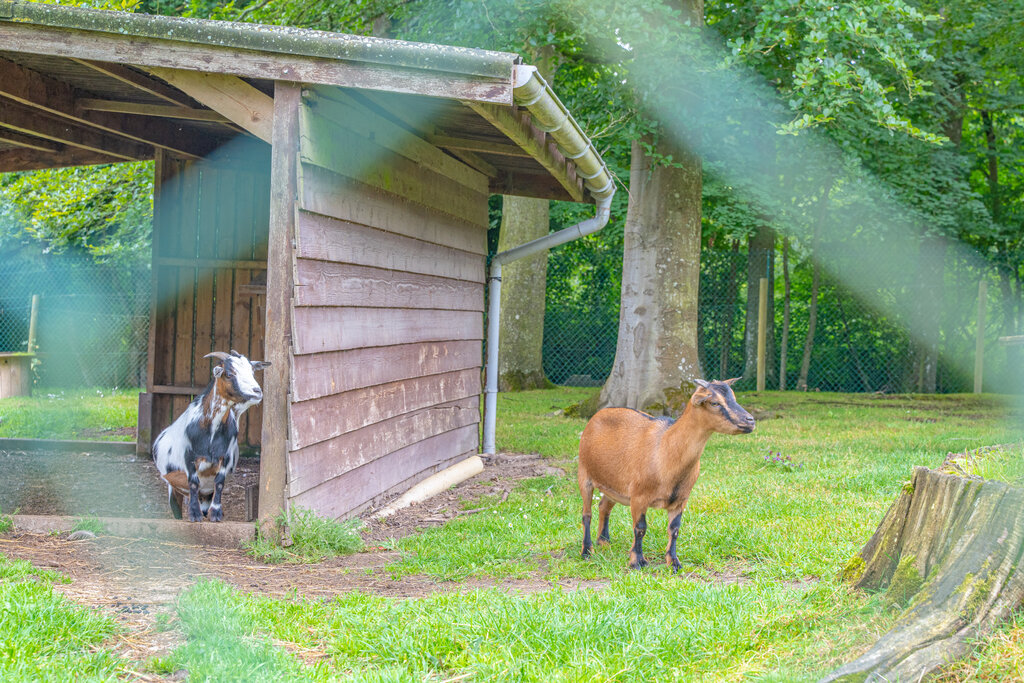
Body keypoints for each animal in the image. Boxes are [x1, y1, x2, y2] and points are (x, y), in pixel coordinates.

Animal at [151, 352, 270, 524]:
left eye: (252, 371)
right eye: (229, 374)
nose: (257, 391)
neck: (211, 432)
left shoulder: (225, 458)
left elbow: (219, 483)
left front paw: (216, 514)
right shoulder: (189, 458)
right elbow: (193, 483)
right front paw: (194, 515)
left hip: (205, 495)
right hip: (172, 488)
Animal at [581, 378, 757, 573]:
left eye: (733, 397)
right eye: (714, 403)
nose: (750, 421)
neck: (665, 450)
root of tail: (598, 415)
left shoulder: (680, 500)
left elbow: (674, 529)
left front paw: (673, 562)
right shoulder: (639, 497)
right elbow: (640, 528)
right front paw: (637, 562)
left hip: (613, 486)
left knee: (604, 506)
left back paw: (603, 542)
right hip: (585, 475)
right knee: (586, 514)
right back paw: (587, 551)